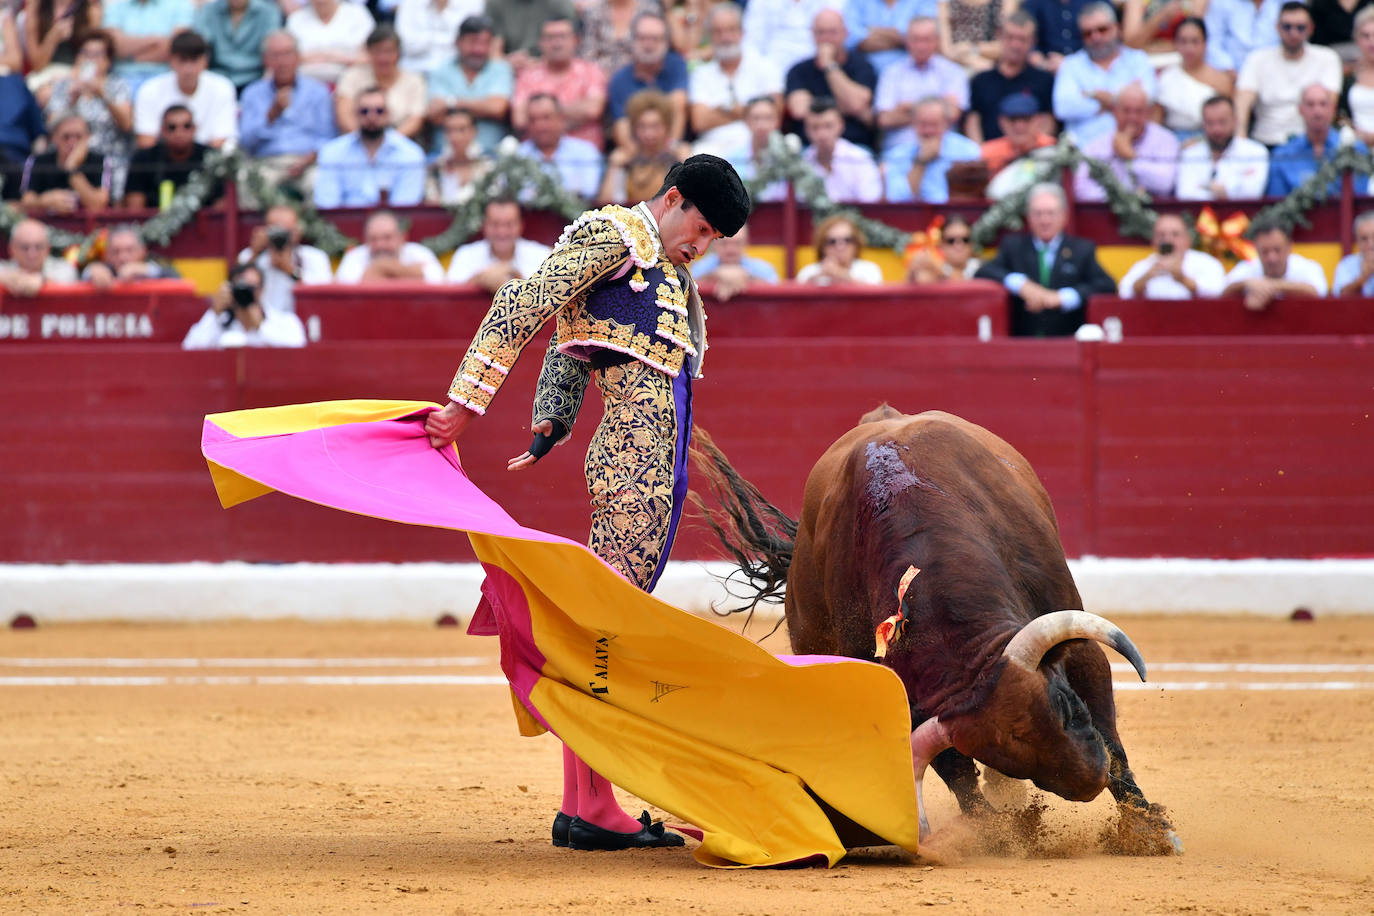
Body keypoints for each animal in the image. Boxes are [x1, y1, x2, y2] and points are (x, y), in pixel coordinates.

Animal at [697, 403, 1181, 856]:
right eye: (1015, 758)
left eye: (1065, 706)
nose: (1089, 781)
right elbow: (957, 773)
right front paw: (996, 835)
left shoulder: (1075, 641)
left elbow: (1110, 732)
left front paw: (1150, 832)